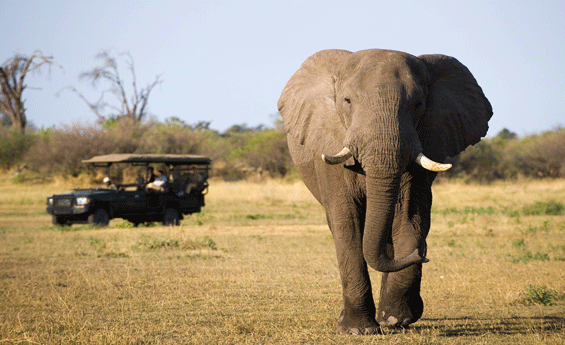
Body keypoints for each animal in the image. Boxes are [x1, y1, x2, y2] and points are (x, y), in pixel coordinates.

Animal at [280, 48, 492, 334]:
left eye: (418, 104)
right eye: (347, 101)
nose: (422, 257)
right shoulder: (330, 147)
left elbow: (411, 219)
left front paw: (395, 319)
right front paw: (357, 330)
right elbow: (347, 225)